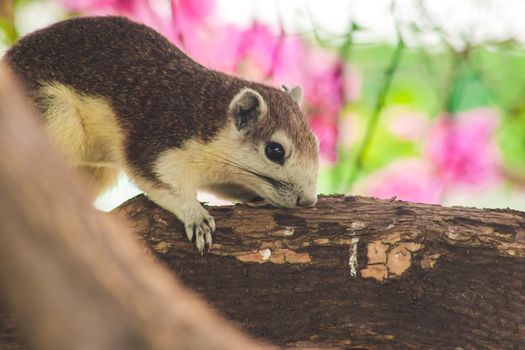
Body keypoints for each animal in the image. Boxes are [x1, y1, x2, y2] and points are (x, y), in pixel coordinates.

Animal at [5, 15, 320, 252]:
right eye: (275, 151)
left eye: (315, 143)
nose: (308, 202)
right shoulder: (155, 146)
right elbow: (166, 187)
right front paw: (196, 217)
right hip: (55, 115)